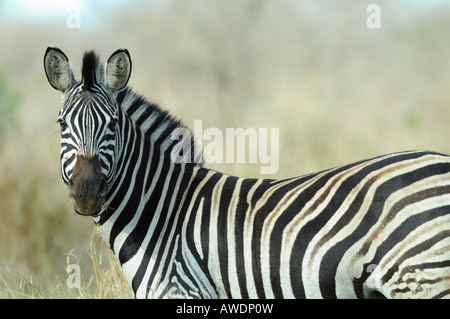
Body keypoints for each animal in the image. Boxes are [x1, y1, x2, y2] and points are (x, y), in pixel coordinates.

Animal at [43, 47, 450, 300]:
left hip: (425, 280)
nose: (86, 192)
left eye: (112, 125)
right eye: (62, 125)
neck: (160, 216)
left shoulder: (185, 288)